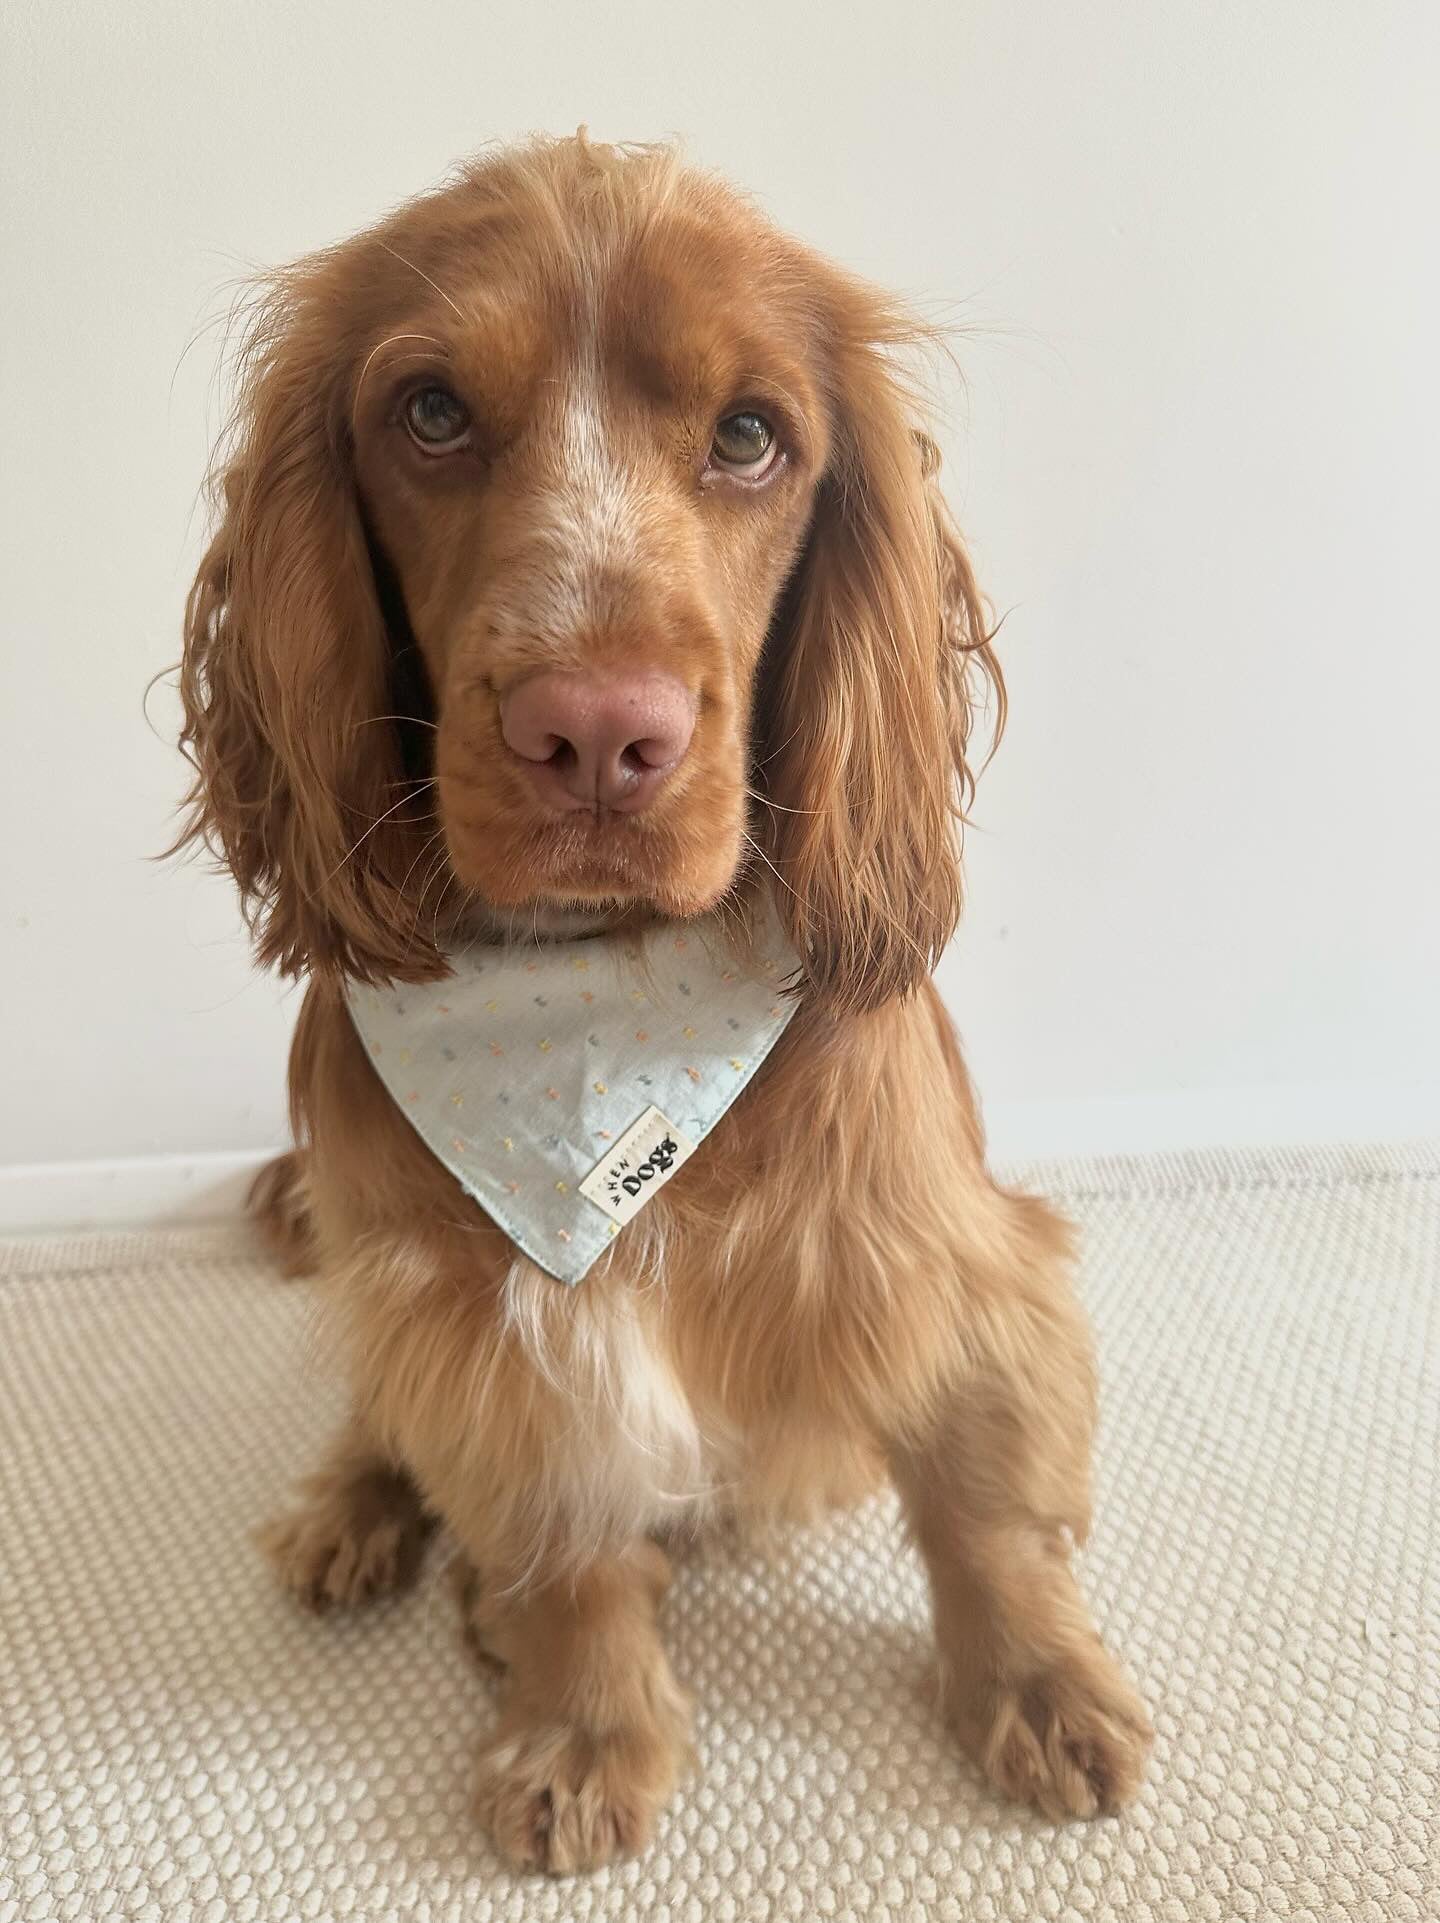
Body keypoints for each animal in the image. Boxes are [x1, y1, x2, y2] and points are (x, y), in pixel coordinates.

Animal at [173, 139, 1153, 1876]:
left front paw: (1039, 1687)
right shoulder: (483, 1329)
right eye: (431, 411)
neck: (598, 1009)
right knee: (376, 1410)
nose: (597, 734)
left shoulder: (934, 1255)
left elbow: (985, 1502)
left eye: (751, 434)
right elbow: (563, 1546)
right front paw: (578, 1728)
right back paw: (356, 1515)